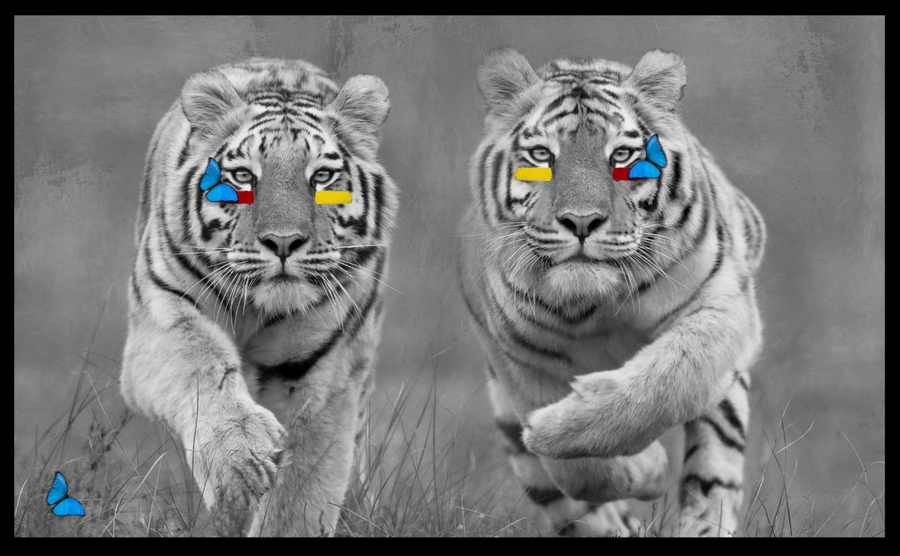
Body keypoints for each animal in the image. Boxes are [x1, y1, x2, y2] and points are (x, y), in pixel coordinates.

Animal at [120, 58, 399, 536]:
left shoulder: (319, 376)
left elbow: (302, 494)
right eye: (243, 176)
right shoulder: (162, 317)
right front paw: (241, 459)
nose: (283, 242)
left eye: (322, 177)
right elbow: (202, 365)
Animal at [458, 48, 765, 537]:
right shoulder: (516, 357)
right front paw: (647, 468)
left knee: (712, 476)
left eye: (622, 155)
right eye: (542, 155)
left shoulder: (721, 299)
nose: (581, 221)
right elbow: (578, 470)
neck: (597, 307)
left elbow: (670, 380)